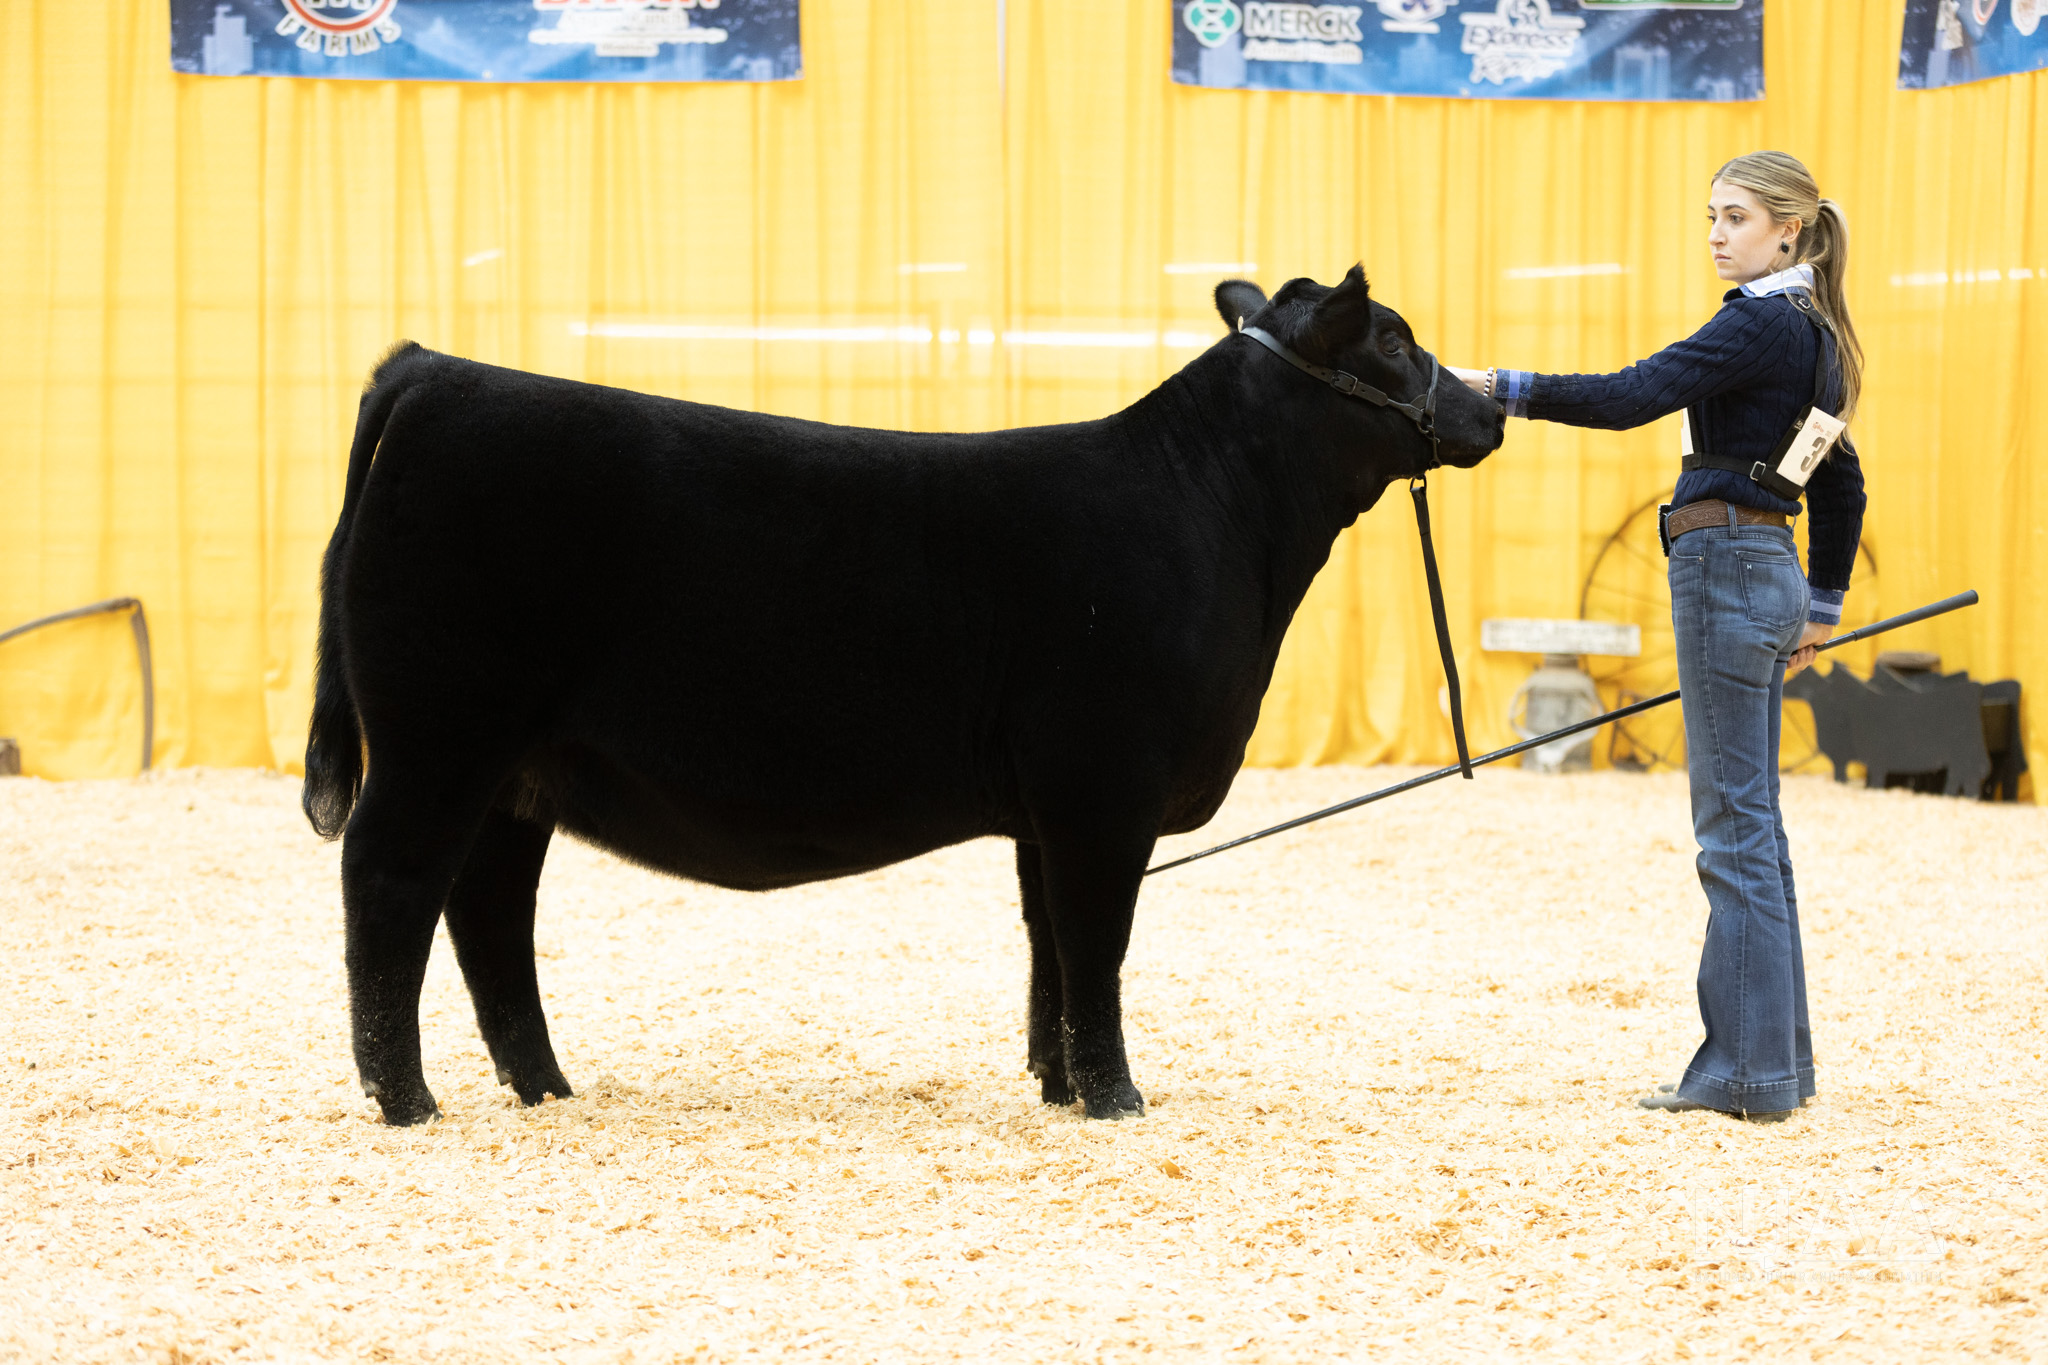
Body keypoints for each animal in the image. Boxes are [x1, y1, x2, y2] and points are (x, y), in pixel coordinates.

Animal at [302, 266, 1506, 1126]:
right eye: (1393, 341)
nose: (1490, 408)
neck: (1213, 516)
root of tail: (433, 371)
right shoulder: (1101, 791)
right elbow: (1095, 944)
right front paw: (1116, 1098)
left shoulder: (1046, 811)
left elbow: (1048, 944)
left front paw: (1058, 1087)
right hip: (437, 740)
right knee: (391, 885)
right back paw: (405, 1100)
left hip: (518, 769)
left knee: (489, 909)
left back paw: (543, 1087)